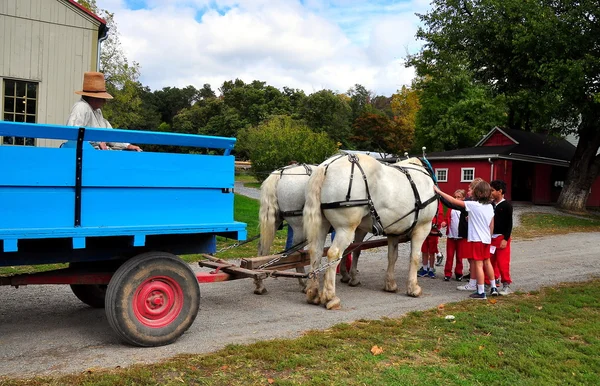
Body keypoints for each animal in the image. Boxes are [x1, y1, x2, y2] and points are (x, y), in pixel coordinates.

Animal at [304, 155, 436, 310]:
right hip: (345, 228)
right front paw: (413, 288)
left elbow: (392, 256)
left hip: (322, 226)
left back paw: (313, 293)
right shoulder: (422, 227)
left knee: (316, 252)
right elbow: (414, 257)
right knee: (333, 254)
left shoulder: (393, 232)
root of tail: (327, 166)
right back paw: (330, 297)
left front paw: (390, 284)